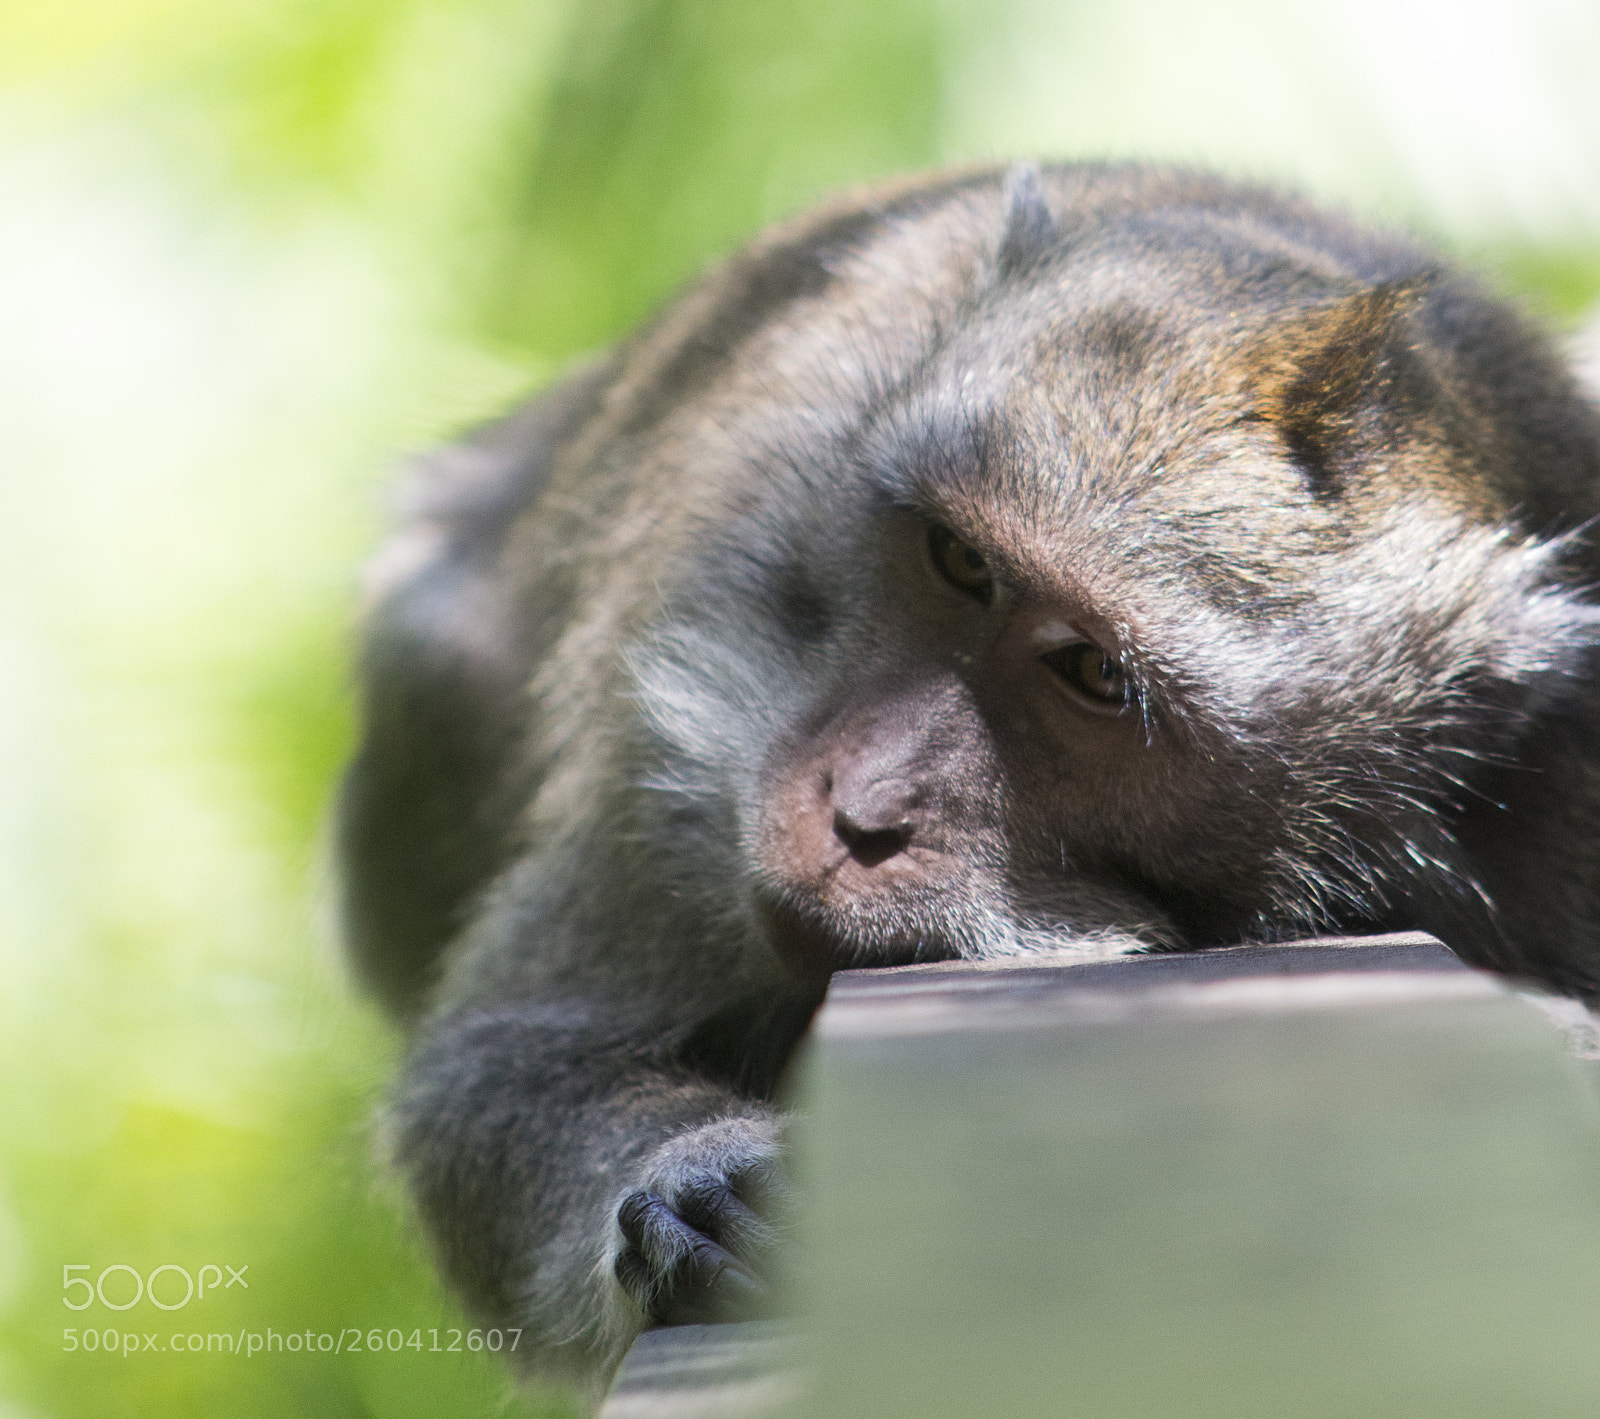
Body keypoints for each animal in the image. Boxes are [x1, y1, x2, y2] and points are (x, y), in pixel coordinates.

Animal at [338, 162, 1600, 1395]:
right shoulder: (688, 712)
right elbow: (503, 1061)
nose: (859, 812)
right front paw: (695, 1177)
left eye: (1093, 672)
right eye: (957, 560)